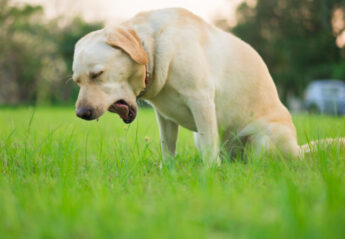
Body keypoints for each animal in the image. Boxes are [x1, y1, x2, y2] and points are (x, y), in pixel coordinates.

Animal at [71, 7, 342, 164]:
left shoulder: (201, 100)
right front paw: (168, 171)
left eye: (97, 74)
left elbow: (210, 151)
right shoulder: (164, 117)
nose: (81, 114)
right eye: (77, 81)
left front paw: (209, 176)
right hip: (200, 139)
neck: (152, 47)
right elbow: (168, 148)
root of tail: (298, 149)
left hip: (262, 141)